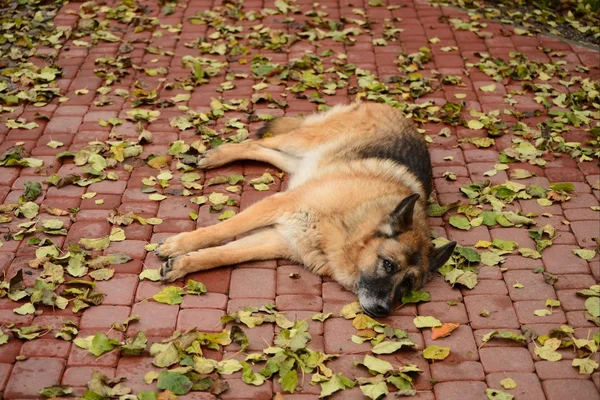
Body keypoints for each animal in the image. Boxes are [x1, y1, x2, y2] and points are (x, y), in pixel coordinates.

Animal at [157, 101, 458, 318]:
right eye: (388, 264)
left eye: (407, 285)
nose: (383, 311)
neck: (349, 229)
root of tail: (394, 108)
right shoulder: (278, 205)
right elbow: (220, 231)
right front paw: (179, 245)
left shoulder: (278, 239)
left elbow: (222, 255)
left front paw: (182, 265)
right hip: (303, 141)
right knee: (258, 142)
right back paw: (216, 156)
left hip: (302, 161)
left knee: (266, 152)